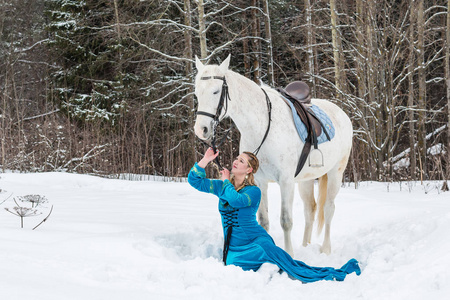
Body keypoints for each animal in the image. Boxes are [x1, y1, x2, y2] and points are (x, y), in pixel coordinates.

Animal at [192, 55, 352, 254]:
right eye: (197, 93)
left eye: (215, 91)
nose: (201, 129)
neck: (261, 127)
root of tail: (342, 113)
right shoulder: (260, 180)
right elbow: (264, 221)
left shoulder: (286, 181)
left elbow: (286, 221)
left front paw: (289, 254)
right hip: (306, 180)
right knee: (310, 209)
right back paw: (305, 246)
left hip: (335, 173)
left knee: (329, 208)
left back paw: (325, 250)